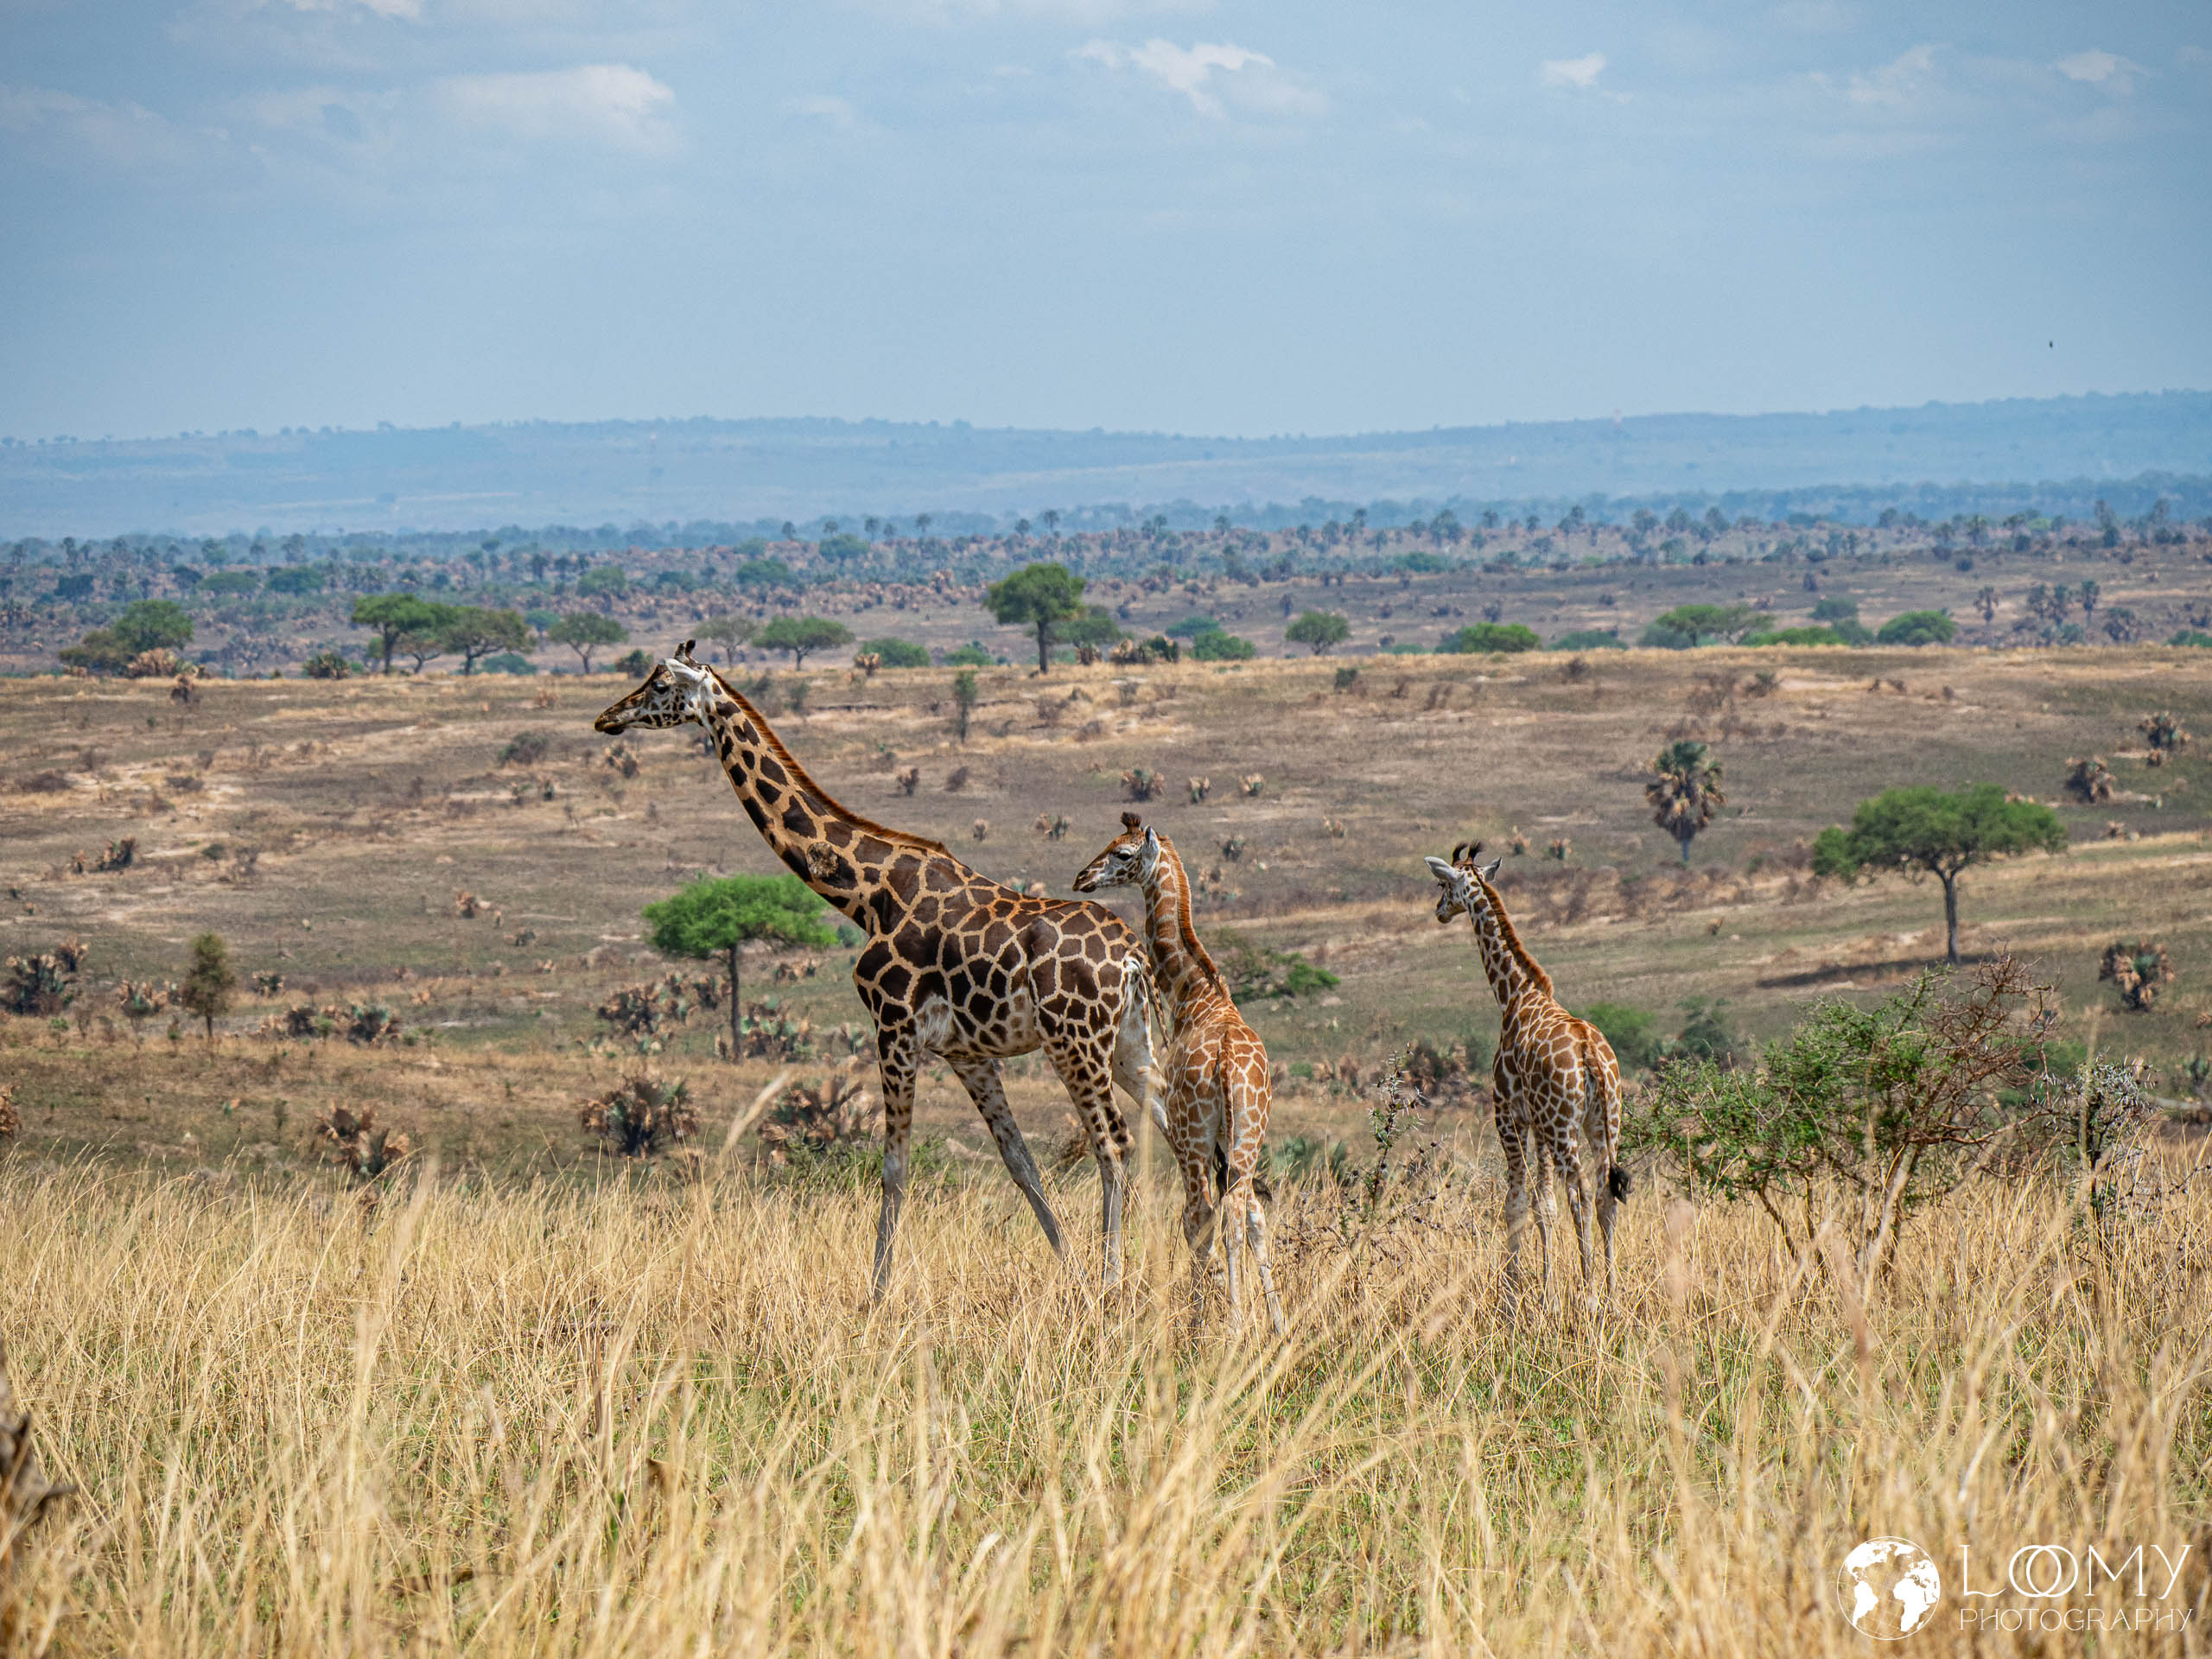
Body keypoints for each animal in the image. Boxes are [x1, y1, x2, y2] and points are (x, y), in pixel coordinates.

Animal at [596, 642, 1157, 1300]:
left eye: (660, 684)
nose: (607, 717)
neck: (868, 895)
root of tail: (1131, 954)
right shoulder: (966, 1052)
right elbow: (1021, 1163)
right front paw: (1071, 1274)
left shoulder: (893, 1026)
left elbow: (893, 1168)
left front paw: (877, 1296)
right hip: (1129, 1045)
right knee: (1190, 1127)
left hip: (1077, 1041)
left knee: (1114, 1143)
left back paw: (1115, 1283)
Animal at [1073, 813, 1285, 1334]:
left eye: (1123, 853)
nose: (1082, 878)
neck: (1195, 994)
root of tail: (1226, 1062)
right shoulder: (1230, 1143)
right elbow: (1255, 1218)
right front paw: (1275, 1323)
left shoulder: (1192, 1132)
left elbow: (1200, 1222)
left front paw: (1207, 1315)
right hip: (1249, 1134)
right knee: (1242, 1213)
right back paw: (1258, 1323)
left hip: (1193, 1137)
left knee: (1201, 1213)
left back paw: (1224, 1323)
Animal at [1423, 842, 1630, 1312]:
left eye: (1444, 885)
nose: (1438, 912)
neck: (1514, 993)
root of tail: (1590, 1056)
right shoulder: (1538, 1125)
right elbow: (1543, 1204)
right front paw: (1545, 1290)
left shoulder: (1509, 1115)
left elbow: (1516, 1201)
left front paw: (1512, 1293)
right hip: (1603, 1123)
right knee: (1606, 1193)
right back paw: (1611, 1293)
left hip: (1565, 1127)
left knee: (1582, 1191)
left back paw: (1590, 1295)